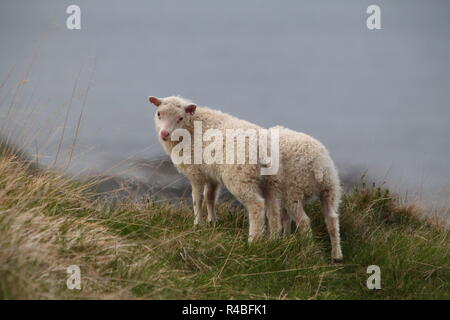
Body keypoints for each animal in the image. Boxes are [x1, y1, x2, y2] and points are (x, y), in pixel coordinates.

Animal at [149, 96, 280, 241]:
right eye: (159, 113)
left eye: (180, 118)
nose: (164, 133)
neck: (191, 128)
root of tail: (263, 147)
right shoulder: (211, 174)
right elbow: (210, 197)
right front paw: (212, 221)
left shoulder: (195, 173)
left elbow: (197, 199)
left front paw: (197, 224)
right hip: (271, 180)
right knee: (273, 207)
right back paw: (274, 238)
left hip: (241, 178)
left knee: (257, 205)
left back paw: (253, 239)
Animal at [268, 125, 344, 262]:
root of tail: (318, 165)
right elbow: (285, 217)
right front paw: (285, 239)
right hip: (330, 188)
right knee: (332, 219)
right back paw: (336, 255)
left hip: (294, 191)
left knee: (304, 222)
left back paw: (308, 249)